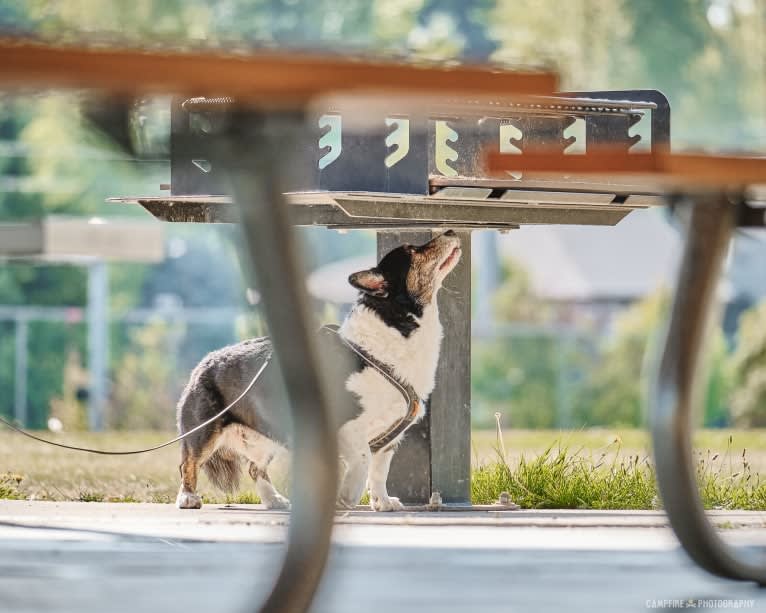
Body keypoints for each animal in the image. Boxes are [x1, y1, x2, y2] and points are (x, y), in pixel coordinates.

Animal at [175, 230, 462, 512]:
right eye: (413, 250)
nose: (450, 230)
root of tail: (203, 363)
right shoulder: (347, 427)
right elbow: (363, 459)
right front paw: (348, 495)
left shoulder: (388, 441)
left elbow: (380, 471)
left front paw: (383, 502)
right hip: (204, 433)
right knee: (188, 463)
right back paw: (188, 498)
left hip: (267, 439)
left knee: (255, 468)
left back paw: (274, 500)